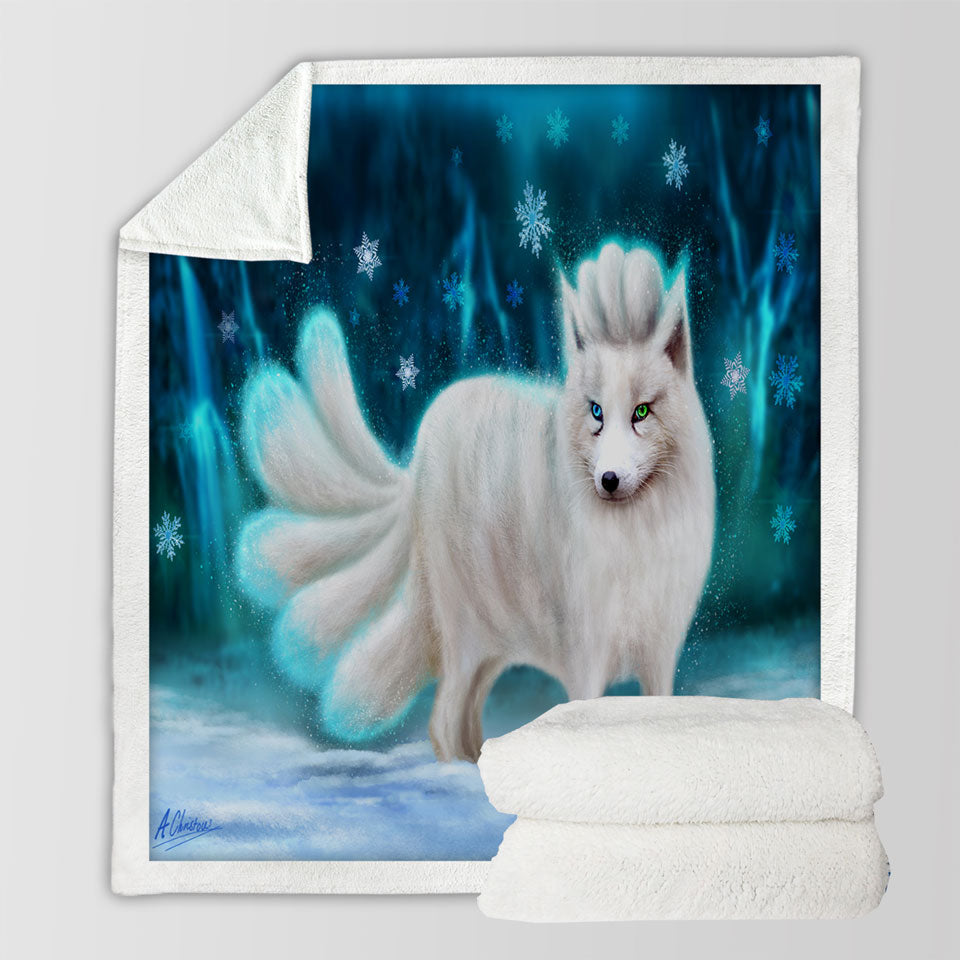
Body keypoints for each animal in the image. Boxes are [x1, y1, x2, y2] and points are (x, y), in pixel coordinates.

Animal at [237, 242, 715, 762]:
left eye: (642, 412)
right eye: (596, 413)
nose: (608, 480)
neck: (635, 537)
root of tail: (419, 453)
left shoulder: (660, 649)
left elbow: (656, 711)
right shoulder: (586, 651)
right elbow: (585, 719)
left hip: (494, 641)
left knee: (463, 713)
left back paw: (477, 760)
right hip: (464, 634)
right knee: (443, 720)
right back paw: (457, 770)